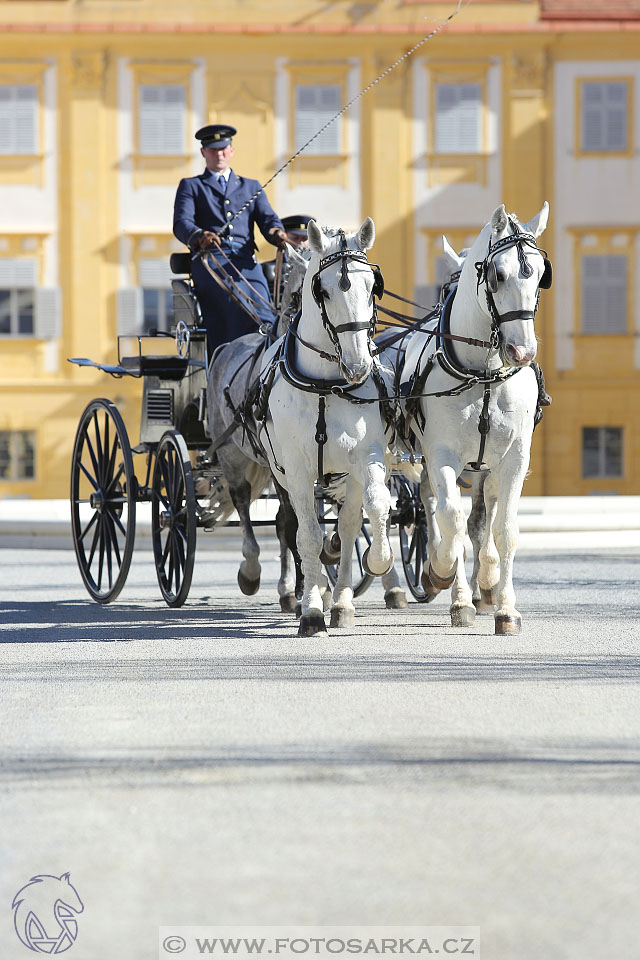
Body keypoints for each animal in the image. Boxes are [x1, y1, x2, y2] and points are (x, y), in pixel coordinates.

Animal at [258, 218, 392, 636]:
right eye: (324, 290)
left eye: (373, 286)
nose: (358, 366)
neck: (325, 385)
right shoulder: (297, 470)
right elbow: (307, 537)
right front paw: (312, 611)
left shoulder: (367, 456)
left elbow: (376, 505)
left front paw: (379, 559)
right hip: (284, 477)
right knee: (297, 529)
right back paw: (311, 593)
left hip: (344, 477)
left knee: (346, 526)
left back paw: (342, 599)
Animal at [404, 202, 552, 632]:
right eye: (497, 274)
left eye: (541, 274)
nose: (522, 352)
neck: (483, 373)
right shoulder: (441, 455)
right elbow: (451, 520)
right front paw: (445, 578)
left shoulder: (514, 458)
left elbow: (502, 528)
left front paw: (503, 605)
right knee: (434, 509)